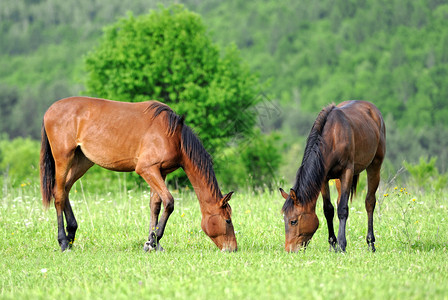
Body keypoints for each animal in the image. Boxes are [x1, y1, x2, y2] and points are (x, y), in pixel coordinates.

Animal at [41, 96, 238, 251]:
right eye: (227, 220)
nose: (233, 249)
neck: (173, 136)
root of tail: (49, 110)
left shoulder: (160, 172)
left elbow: (155, 206)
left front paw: (152, 243)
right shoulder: (147, 169)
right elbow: (169, 202)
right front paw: (154, 240)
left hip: (82, 161)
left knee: (65, 189)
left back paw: (71, 234)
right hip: (63, 158)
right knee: (59, 194)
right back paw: (63, 241)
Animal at [280, 101, 384, 253]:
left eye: (293, 221)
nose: (289, 250)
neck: (333, 137)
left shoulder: (347, 172)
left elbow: (342, 209)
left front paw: (341, 245)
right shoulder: (324, 178)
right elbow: (328, 210)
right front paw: (332, 244)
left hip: (375, 166)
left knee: (369, 202)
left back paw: (371, 243)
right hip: (338, 181)